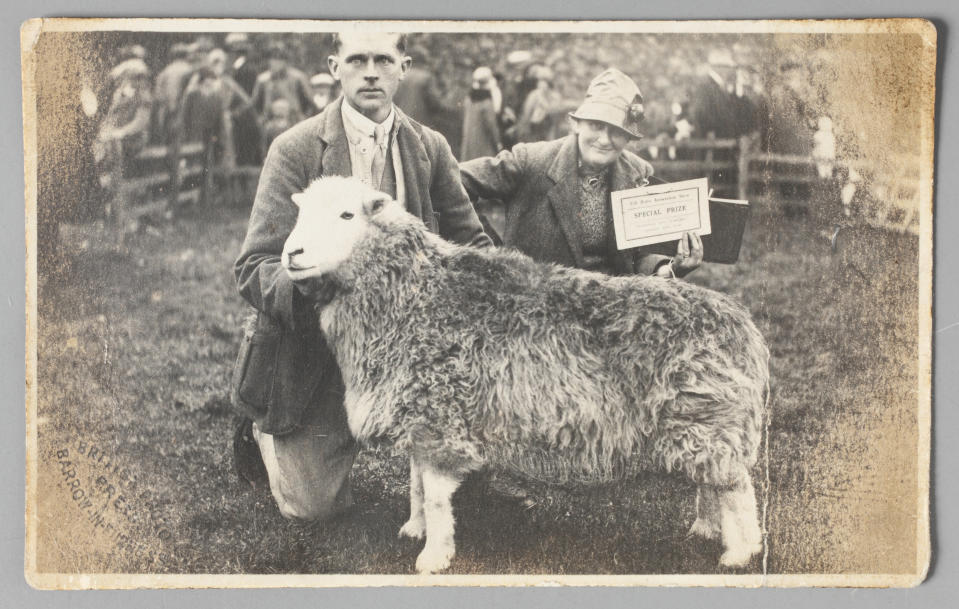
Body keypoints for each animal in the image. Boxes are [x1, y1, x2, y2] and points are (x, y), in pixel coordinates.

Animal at [282, 177, 768, 576]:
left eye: (346, 215)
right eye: (301, 213)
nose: (291, 254)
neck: (414, 294)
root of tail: (743, 325)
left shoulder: (440, 417)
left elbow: (435, 496)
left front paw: (434, 557)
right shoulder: (421, 416)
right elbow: (416, 485)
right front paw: (414, 529)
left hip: (712, 421)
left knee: (737, 489)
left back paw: (739, 552)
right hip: (701, 424)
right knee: (712, 482)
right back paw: (706, 529)